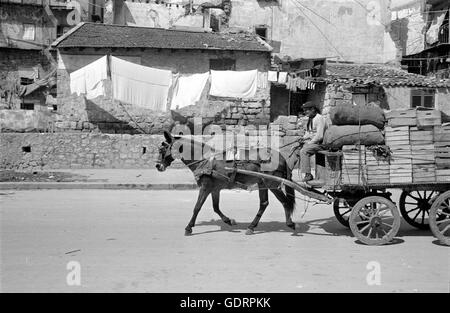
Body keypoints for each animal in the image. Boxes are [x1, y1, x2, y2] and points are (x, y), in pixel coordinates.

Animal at [156, 130, 298, 235]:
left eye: (162, 149)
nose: (158, 166)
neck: (204, 159)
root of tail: (280, 157)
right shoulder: (214, 189)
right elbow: (216, 207)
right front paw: (228, 220)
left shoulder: (205, 187)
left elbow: (197, 207)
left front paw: (189, 227)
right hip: (262, 183)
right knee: (264, 203)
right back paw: (251, 226)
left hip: (271, 184)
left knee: (285, 202)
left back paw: (290, 223)